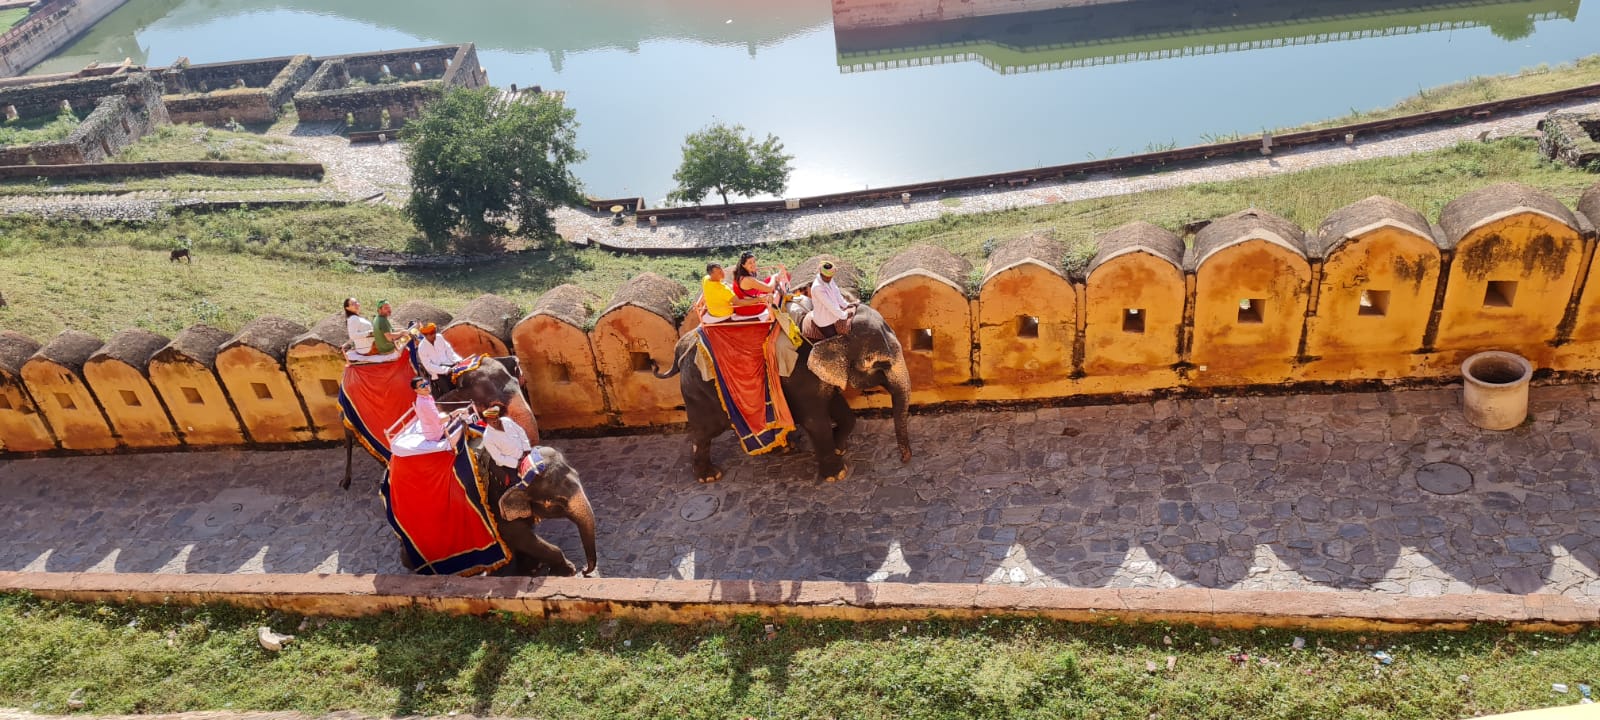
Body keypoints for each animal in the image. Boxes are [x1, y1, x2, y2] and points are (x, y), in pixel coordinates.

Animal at [656, 300, 915, 480]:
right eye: (880, 364)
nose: (904, 460)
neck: (825, 329)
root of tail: (681, 346)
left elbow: (840, 409)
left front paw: (838, 447)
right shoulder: (800, 377)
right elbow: (815, 421)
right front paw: (836, 474)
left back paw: (785, 449)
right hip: (700, 390)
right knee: (705, 431)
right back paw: (710, 476)